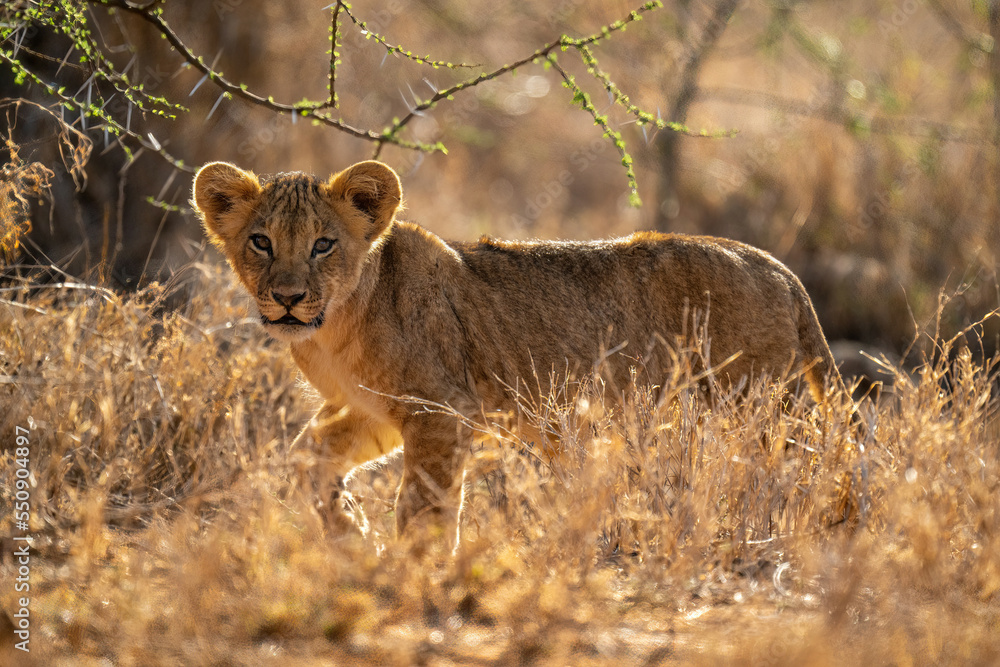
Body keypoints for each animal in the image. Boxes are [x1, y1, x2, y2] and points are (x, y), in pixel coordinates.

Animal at [192, 159, 845, 545]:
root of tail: (778, 268)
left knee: (789, 470)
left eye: (323, 245)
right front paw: (349, 527)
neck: (336, 326)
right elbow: (306, 457)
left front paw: (414, 572)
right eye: (261, 242)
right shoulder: (371, 410)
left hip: (753, 410)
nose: (287, 298)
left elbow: (423, 506)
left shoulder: (441, 410)